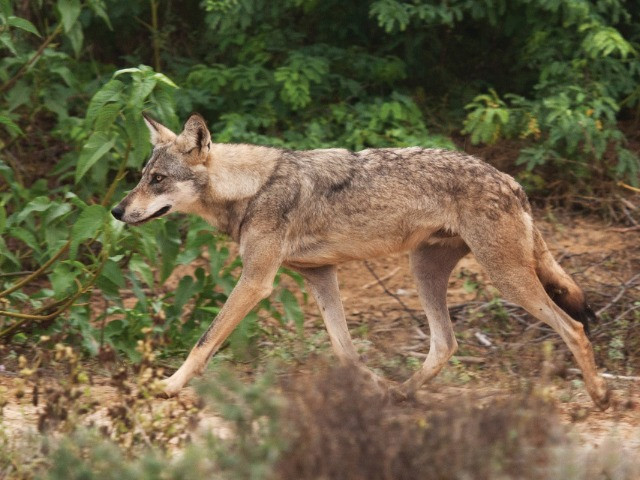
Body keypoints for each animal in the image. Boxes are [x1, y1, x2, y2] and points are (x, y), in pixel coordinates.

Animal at [111, 113, 610, 410]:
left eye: (158, 180)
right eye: (141, 177)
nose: (116, 211)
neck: (250, 188)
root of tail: (512, 181)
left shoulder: (256, 281)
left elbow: (204, 341)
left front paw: (167, 386)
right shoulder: (320, 276)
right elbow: (346, 352)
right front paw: (371, 390)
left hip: (506, 279)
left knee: (574, 328)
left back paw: (601, 396)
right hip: (424, 271)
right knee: (444, 344)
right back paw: (400, 394)